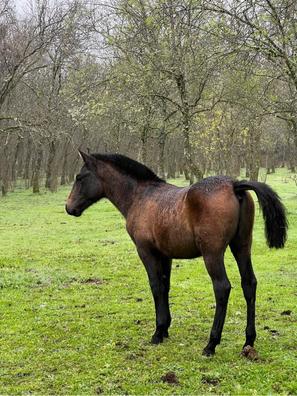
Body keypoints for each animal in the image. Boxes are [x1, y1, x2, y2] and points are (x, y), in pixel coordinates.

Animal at [65, 151, 286, 356]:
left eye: (79, 177)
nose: (69, 207)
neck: (140, 196)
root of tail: (235, 185)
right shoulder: (165, 255)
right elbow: (165, 286)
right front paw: (165, 329)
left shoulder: (146, 251)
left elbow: (155, 286)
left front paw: (157, 332)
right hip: (241, 247)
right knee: (249, 284)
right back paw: (248, 340)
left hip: (212, 253)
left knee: (222, 287)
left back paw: (211, 344)